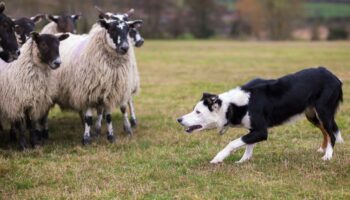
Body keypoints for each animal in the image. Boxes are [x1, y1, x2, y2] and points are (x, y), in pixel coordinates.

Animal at [49, 17, 142, 145]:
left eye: (128, 30)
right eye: (111, 29)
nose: (125, 47)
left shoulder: (109, 92)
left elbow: (108, 116)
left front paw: (111, 136)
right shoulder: (87, 91)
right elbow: (89, 118)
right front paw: (86, 139)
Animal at [179, 67, 344, 164]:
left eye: (198, 112)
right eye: (194, 109)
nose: (178, 119)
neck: (233, 106)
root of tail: (335, 77)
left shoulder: (261, 131)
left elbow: (234, 142)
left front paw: (218, 158)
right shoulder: (254, 129)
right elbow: (248, 144)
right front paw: (243, 160)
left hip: (323, 112)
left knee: (332, 133)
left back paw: (327, 156)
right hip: (312, 115)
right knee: (326, 132)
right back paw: (323, 149)